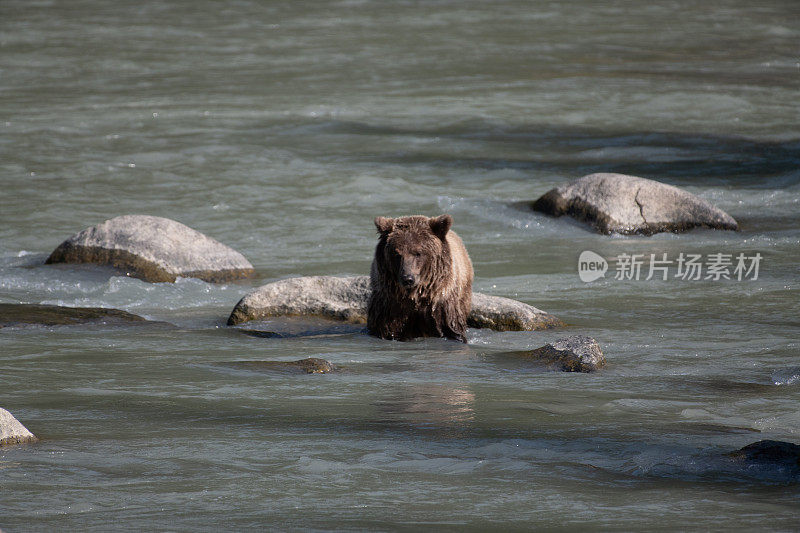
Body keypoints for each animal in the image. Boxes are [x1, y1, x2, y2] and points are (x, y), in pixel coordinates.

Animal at [366, 214, 472, 342]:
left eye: (418, 253)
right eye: (397, 253)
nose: (408, 279)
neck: (416, 295)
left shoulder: (441, 304)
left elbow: (452, 328)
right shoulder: (390, 304)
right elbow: (386, 328)